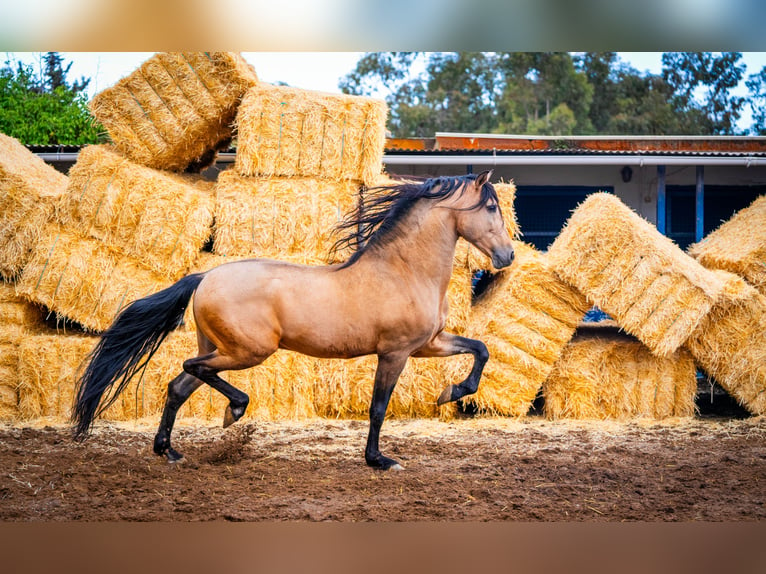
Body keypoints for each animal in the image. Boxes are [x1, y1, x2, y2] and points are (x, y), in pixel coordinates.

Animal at [72, 171, 516, 472]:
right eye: (491, 207)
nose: (508, 255)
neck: (404, 271)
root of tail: (205, 277)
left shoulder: (428, 345)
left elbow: (480, 350)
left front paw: (452, 392)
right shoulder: (395, 352)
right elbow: (378, 408)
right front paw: (379, 460)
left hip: (220, 347)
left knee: (179, 385)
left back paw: (170, 450)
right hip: (247, 351)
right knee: (191, 369)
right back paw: (233, 411)